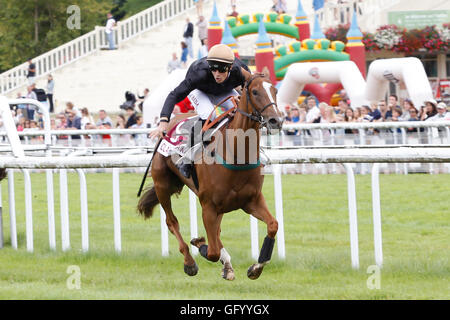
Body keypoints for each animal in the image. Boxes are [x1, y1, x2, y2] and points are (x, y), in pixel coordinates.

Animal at [138, 69, 284, 278]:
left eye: (275, 91)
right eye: (255, 92)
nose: (276, 121)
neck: (236, 154)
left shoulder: (252, 200)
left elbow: (273, 225)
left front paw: (255, 268)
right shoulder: (208, 205)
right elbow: (213, 251)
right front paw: (200, 244)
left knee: (216, 231)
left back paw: (226, 265)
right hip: (162, 186)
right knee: (171, 222)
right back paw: (190, 262)